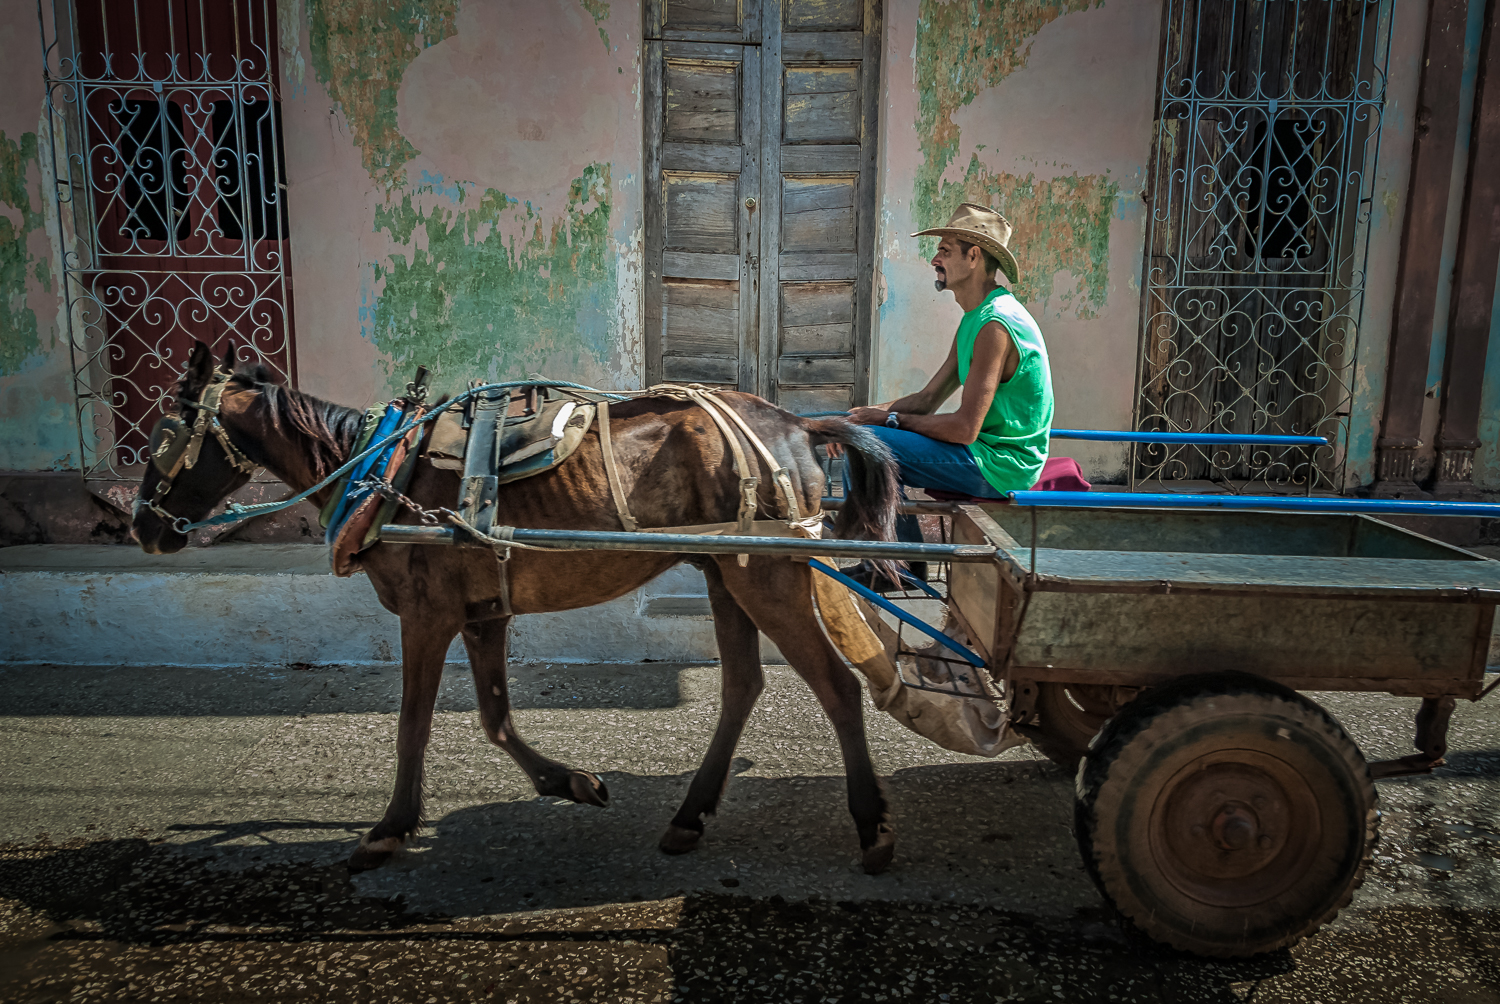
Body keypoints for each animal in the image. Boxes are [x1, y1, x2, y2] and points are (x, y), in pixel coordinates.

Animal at [132, 342, 900, 870]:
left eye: (164, 432)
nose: (141, 527)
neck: (382, 472)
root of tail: (797, 424)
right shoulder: (482, 614)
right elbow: (495, 719)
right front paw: (571, 782)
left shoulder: (427, 615)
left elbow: (413, 726)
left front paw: (389, 829)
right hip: (727, 571)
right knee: (742, 685)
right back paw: (690, 815)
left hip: (766, 574)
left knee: (837, 688)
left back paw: (872, 825)